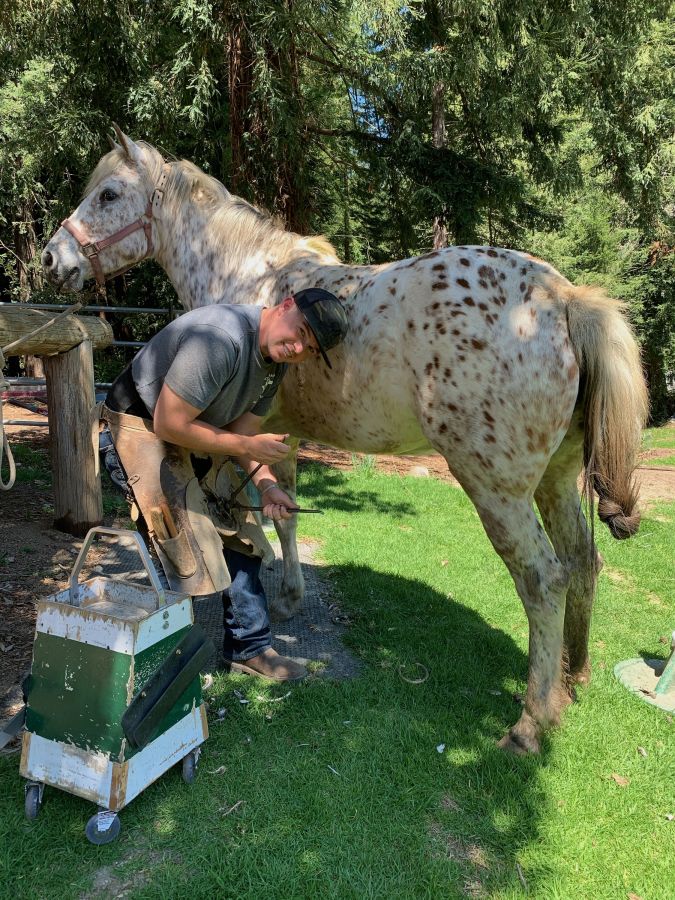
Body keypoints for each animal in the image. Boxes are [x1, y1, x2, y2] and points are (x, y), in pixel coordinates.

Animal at [42, 126, 648, 752]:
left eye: (109, 194)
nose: (51, 259)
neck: (252, 280)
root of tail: (562, 297)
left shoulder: (256, 436)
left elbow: (266, 519)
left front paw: (279, 600)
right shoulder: (272, 437)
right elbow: (280, 513)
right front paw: (285, 596)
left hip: (498, 492)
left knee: (544, 582)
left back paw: (531, 723)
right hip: (556, 481)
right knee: (583, 562)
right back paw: (571, 680)